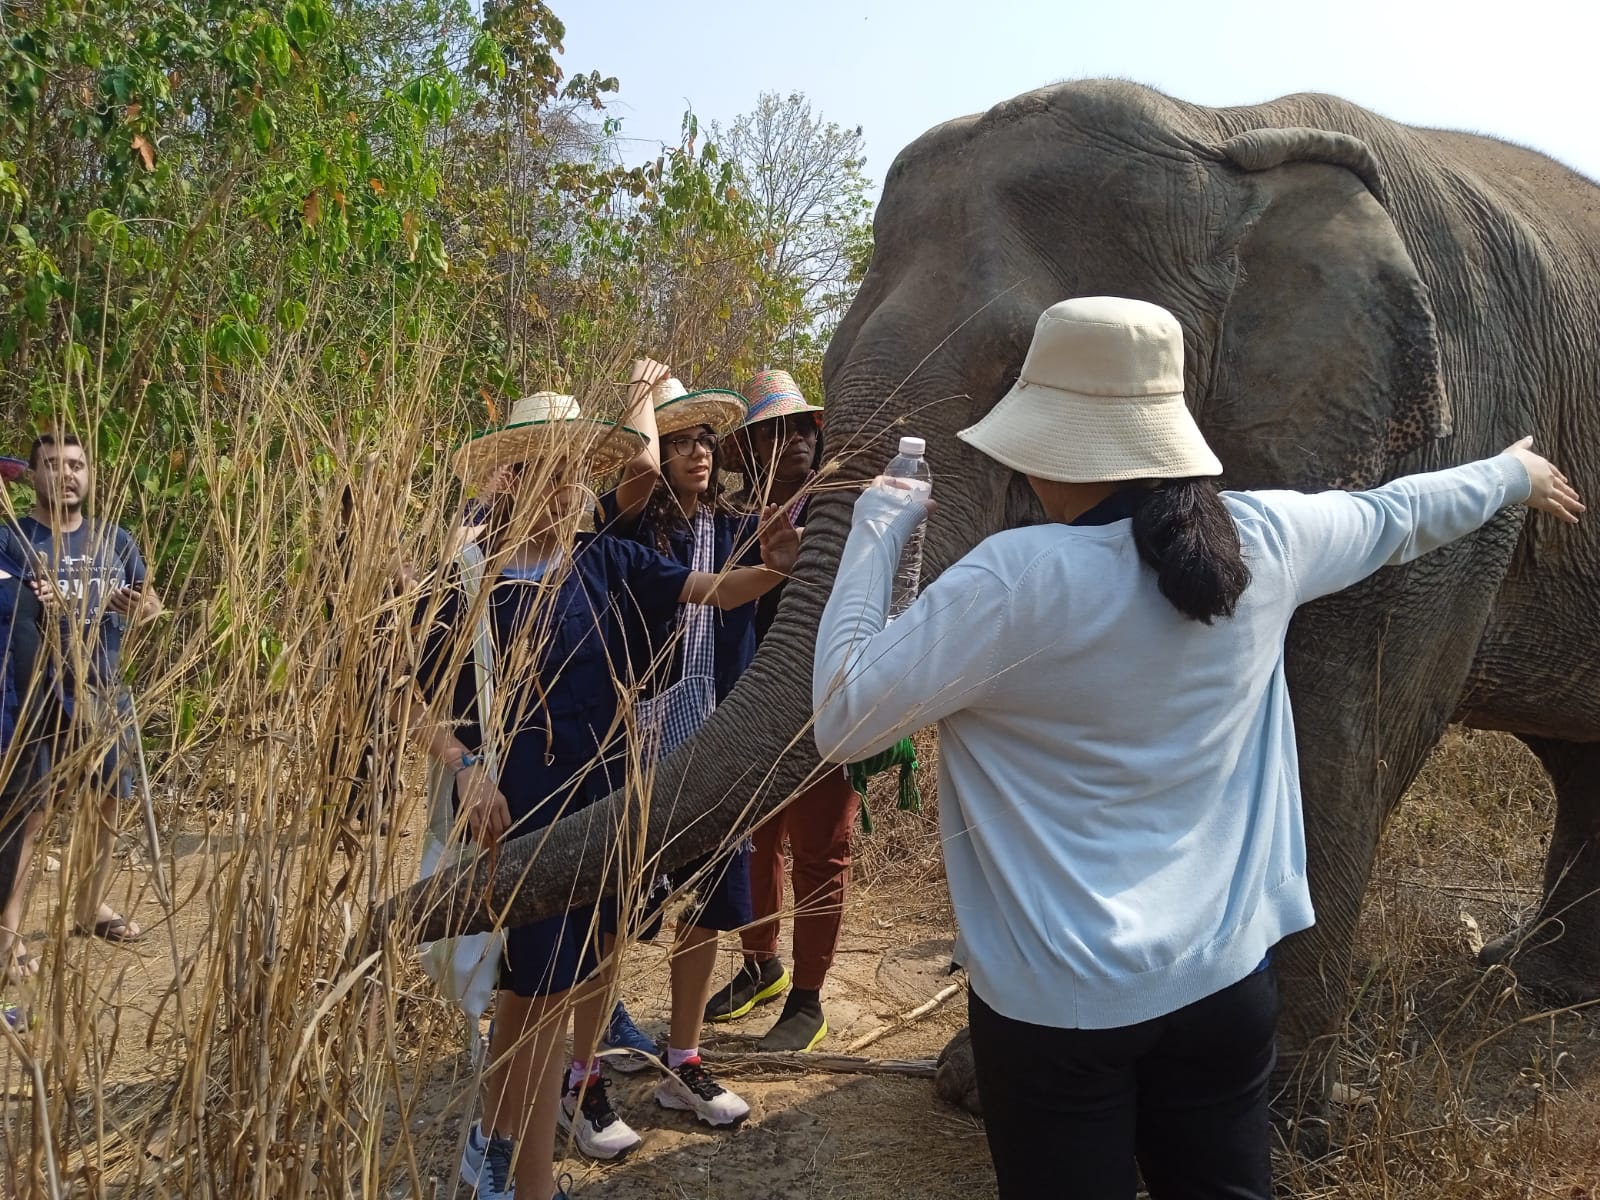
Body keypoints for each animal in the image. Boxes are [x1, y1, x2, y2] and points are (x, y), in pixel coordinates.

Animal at [380, 80, 1600, 1148]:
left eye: (1020, 367)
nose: (371, 932)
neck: (1225, 130)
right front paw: (983, 1088)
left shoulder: (1433, 428)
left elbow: (1348, 738)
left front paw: (1275, 1131)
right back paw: (1538, 982)